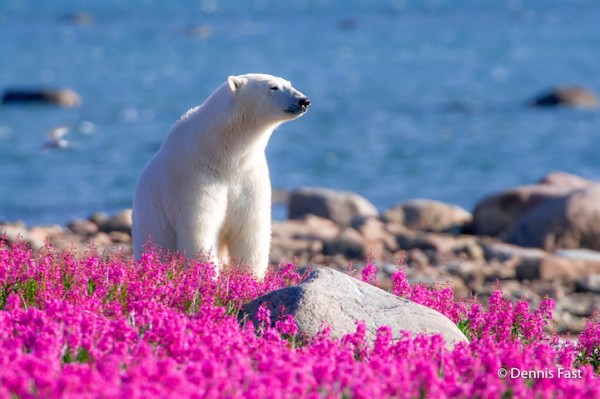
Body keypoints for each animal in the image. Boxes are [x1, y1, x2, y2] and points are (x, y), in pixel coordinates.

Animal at [131, 73, 310, 278]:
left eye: (288, 83)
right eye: (273, 87)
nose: (304, 100)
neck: (221, 153)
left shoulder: (248, 176)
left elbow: (250, 230)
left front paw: (250, 278)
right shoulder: (193, 176)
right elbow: (199, 229)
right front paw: (209, 277)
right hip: (151, 226)